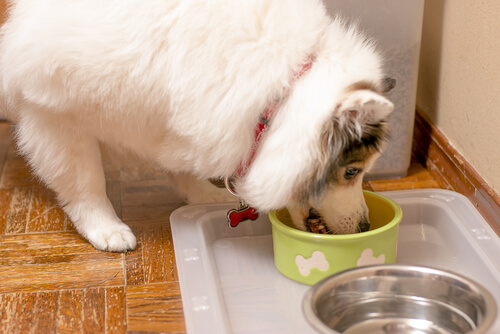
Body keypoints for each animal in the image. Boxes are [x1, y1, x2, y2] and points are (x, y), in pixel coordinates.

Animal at [0, 0, 394, 250]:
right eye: (351, 171)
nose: (365, 226)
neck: (279, 90)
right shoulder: (52, 115)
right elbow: (86, 182)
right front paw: (105, 226)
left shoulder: (175, 112)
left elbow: (181, 162)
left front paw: (204, 197)